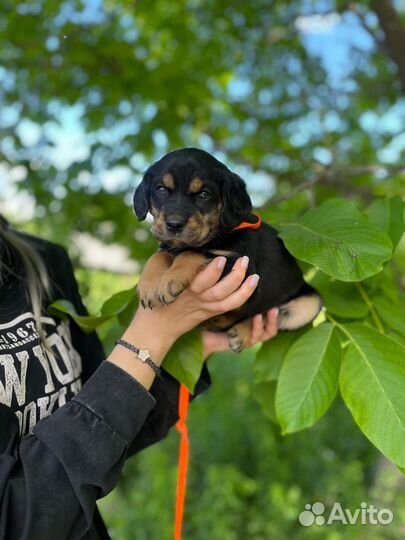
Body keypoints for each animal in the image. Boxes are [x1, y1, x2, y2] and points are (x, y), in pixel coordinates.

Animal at [133, 148, 322, 352]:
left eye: (204, 194)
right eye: (161, 189)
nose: (174, 224)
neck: (217, 234)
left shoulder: (243, 267)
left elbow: (193, 252)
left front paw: (171, 279)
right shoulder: (170, 246)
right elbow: (158, 257)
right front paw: (149, 286)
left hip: (309, 304)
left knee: (264, 314)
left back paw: (242, 332)